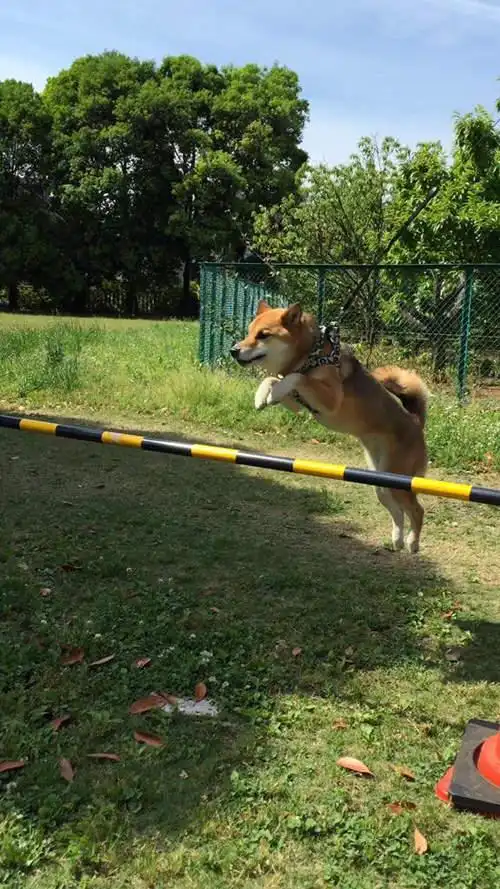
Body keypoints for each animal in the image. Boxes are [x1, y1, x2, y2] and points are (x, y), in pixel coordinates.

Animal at [231, 302, 430, 552]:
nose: (233, 350)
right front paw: (263, 396)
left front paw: (274, 391)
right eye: (249, 332)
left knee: (417, 510)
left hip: (398, 481)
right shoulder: (296, 403)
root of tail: (416, 422)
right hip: (382, 483)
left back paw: (413, 543)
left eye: (263, 335)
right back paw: (398, 539)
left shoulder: (331, 398)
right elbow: (274, 380)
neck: (309, 354)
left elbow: (297, 377)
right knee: (398, 512)